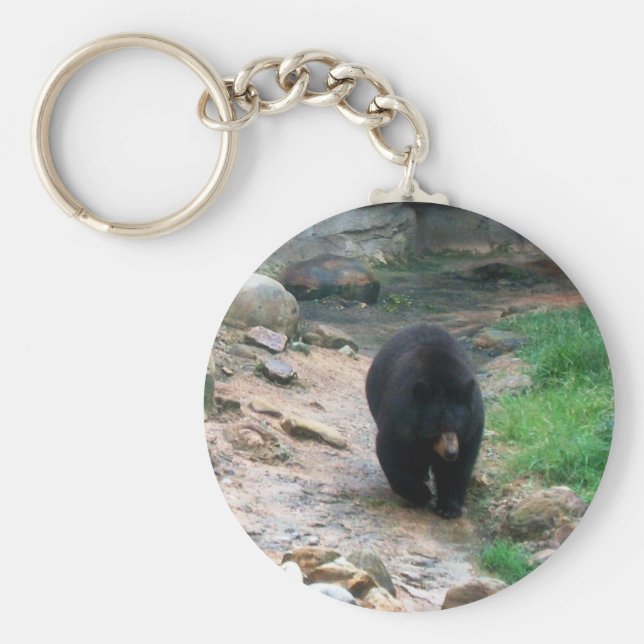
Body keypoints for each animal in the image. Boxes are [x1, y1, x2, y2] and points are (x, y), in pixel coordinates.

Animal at [365, 323, 484, 518]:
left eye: (458, 428)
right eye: (437, 428)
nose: (451, 453)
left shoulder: (473, 426)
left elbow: (460, 466)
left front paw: (449, 508)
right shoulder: (400, 417)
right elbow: (392, 452)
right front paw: (421, 494)